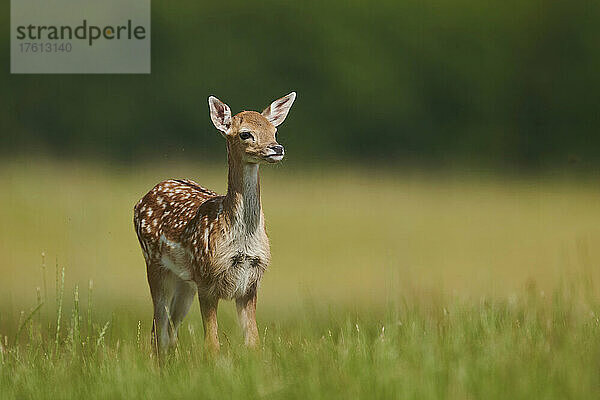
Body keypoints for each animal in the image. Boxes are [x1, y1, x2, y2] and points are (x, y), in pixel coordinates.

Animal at [134, 92, 298, 354]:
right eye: (245, 133)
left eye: (274, 130)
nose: (277, 148)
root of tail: (143, 198)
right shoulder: (207, 279)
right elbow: (212, 344)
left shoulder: (251, 282)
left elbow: (253, 342)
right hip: (155, 264)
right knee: (158, 329)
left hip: (185, 282)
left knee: (169, 331)